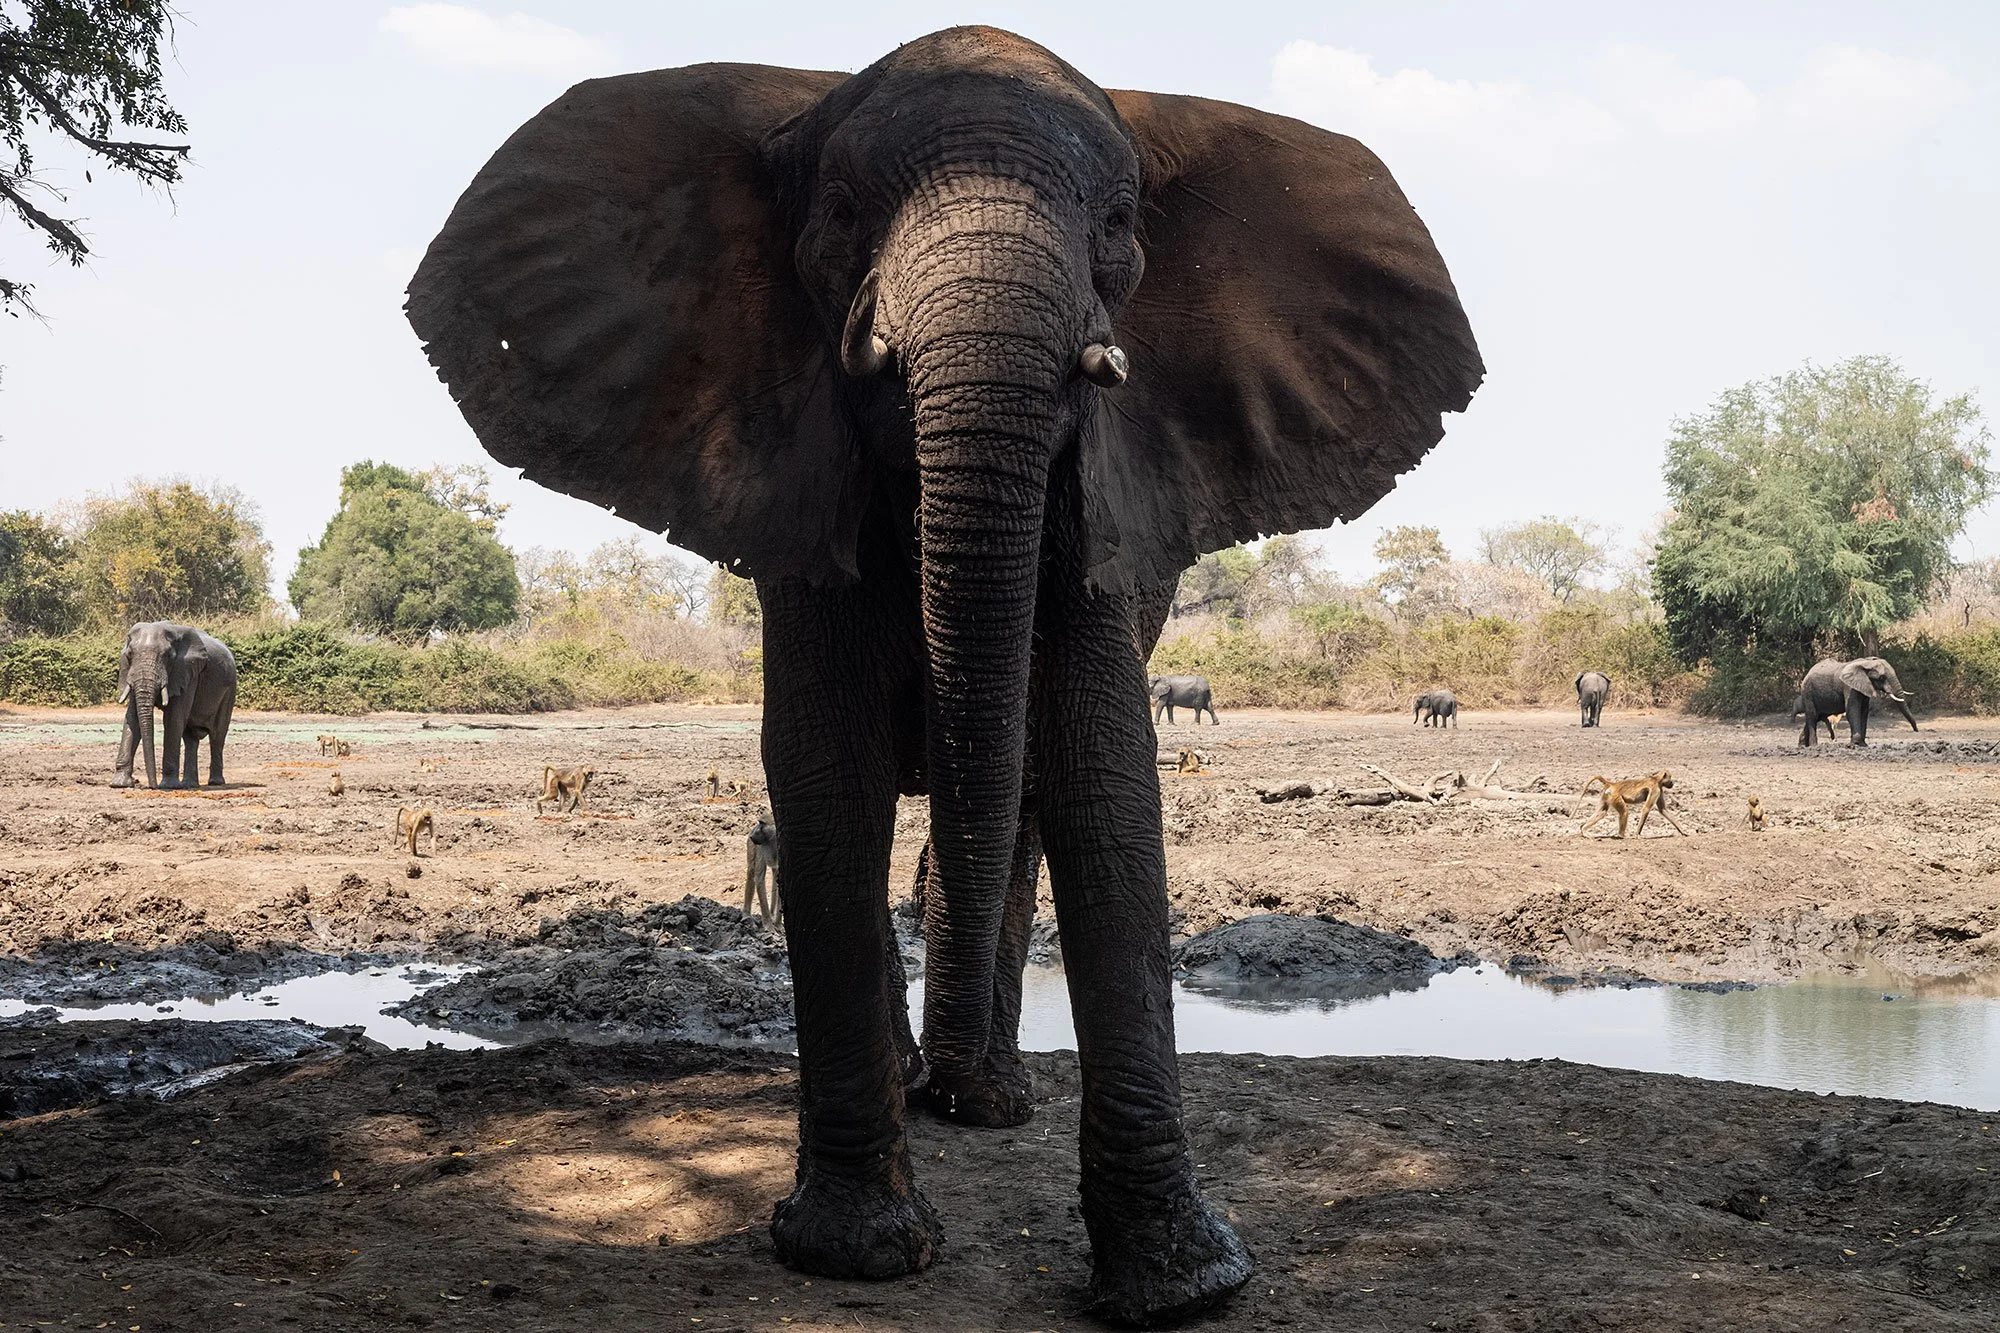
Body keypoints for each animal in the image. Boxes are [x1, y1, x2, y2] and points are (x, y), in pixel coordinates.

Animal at [110, 621, 237, 790]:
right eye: (130, 654)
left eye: (167, 656)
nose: (152, 786)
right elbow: (132, 718)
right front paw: (119, 784)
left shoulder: (188, 673)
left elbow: (173, 719)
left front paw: (168, 786)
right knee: (190, 738)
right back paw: (190, 784)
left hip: (229, 690)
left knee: (217, 735)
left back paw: (215, 782)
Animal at [406, 26, 1481, 1322]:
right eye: (836, 217)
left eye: (1118, 224)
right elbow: (826, 772)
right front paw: (854, 1251)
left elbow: (1097, 773)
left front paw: (1182, 1283)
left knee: (1010, 815)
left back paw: (982, 1097)